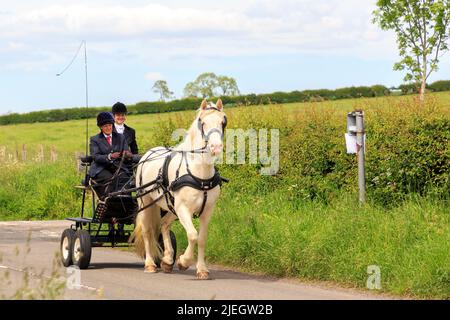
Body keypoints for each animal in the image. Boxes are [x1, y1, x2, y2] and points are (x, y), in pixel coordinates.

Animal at [132, 99, 227, 278]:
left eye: (223, 122)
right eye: (202, 122)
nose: (216, 147)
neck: (199, 175)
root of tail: (148, 153)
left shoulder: (207, 210)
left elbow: (202, 238)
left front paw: (201, 269)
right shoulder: (183, 208)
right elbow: (193, 235)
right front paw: (184, 261)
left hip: (171, 208)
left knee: (164, 225)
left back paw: (168, 260)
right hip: (145, 203)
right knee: (148, 231)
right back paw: (150, 264)